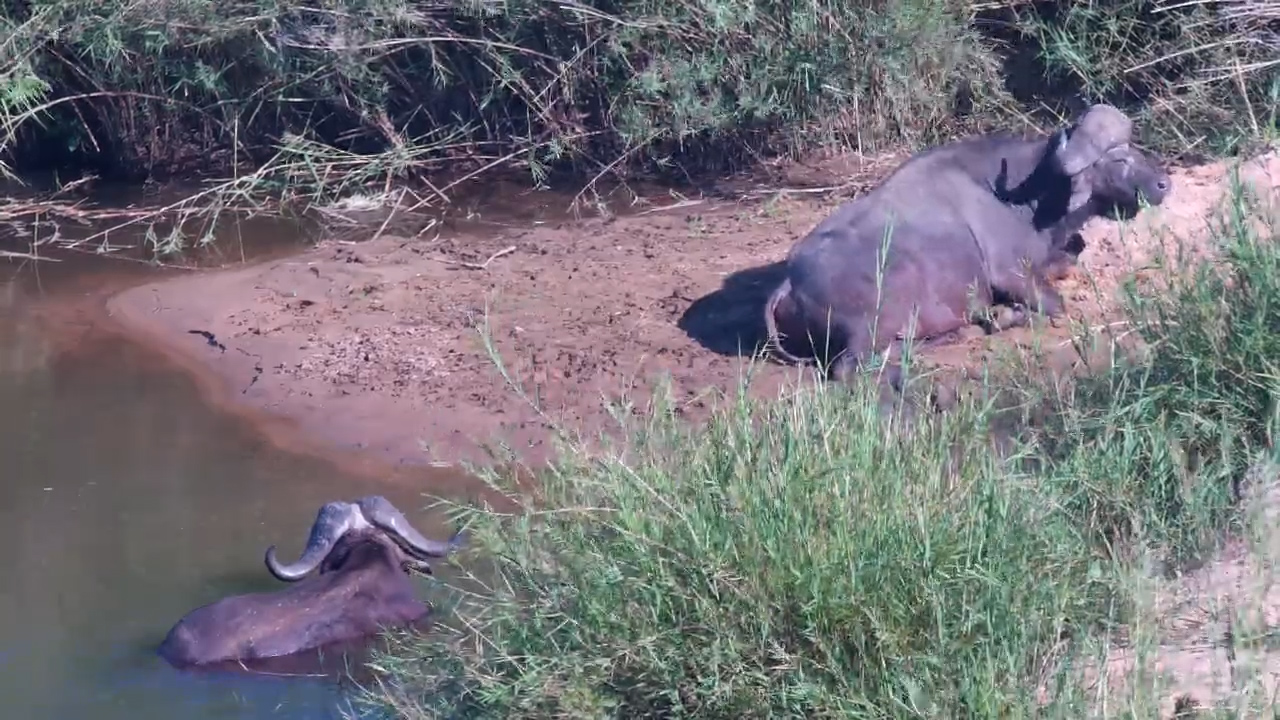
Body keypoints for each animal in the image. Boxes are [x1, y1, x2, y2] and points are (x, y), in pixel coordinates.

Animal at [764, 103, 1172, 384]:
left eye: (1134, 149)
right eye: (1119, 159)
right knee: (851, 366)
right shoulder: (1010, 273)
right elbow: (1056, 303)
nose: (1164, 184)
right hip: (879, 310)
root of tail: (790, 281)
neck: (1029, 196)